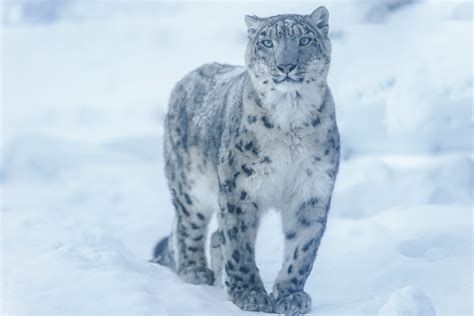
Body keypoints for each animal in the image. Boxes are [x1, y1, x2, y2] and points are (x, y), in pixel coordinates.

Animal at [153, 6, 340, 314]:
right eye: (267, 43)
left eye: (304, 40)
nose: (285, 66)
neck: (291, 119)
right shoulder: (238, 188)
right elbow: (239, 242)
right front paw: (249, 293)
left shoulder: (312, 190)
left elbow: (302, 247)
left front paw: (290, 296)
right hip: (189, 187)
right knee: (188, 225)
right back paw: (195, 271)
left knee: (215, 234)